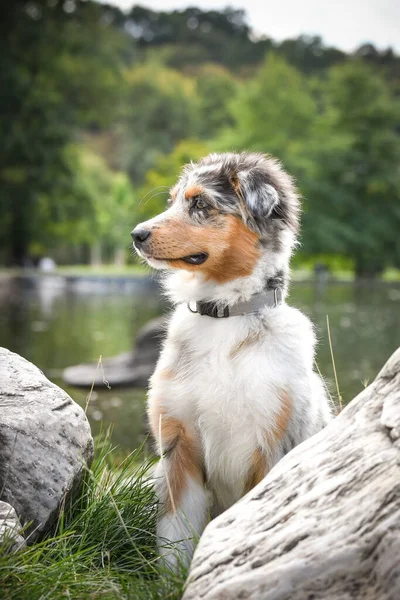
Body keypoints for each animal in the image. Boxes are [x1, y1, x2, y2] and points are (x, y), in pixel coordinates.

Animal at [131, 150, 332, 568]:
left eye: (200, 204)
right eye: (172, 200)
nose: (136, 235)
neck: (224, 316)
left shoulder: (272, 446)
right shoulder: (180, 447)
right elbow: (175, 537)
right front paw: (174, 578)